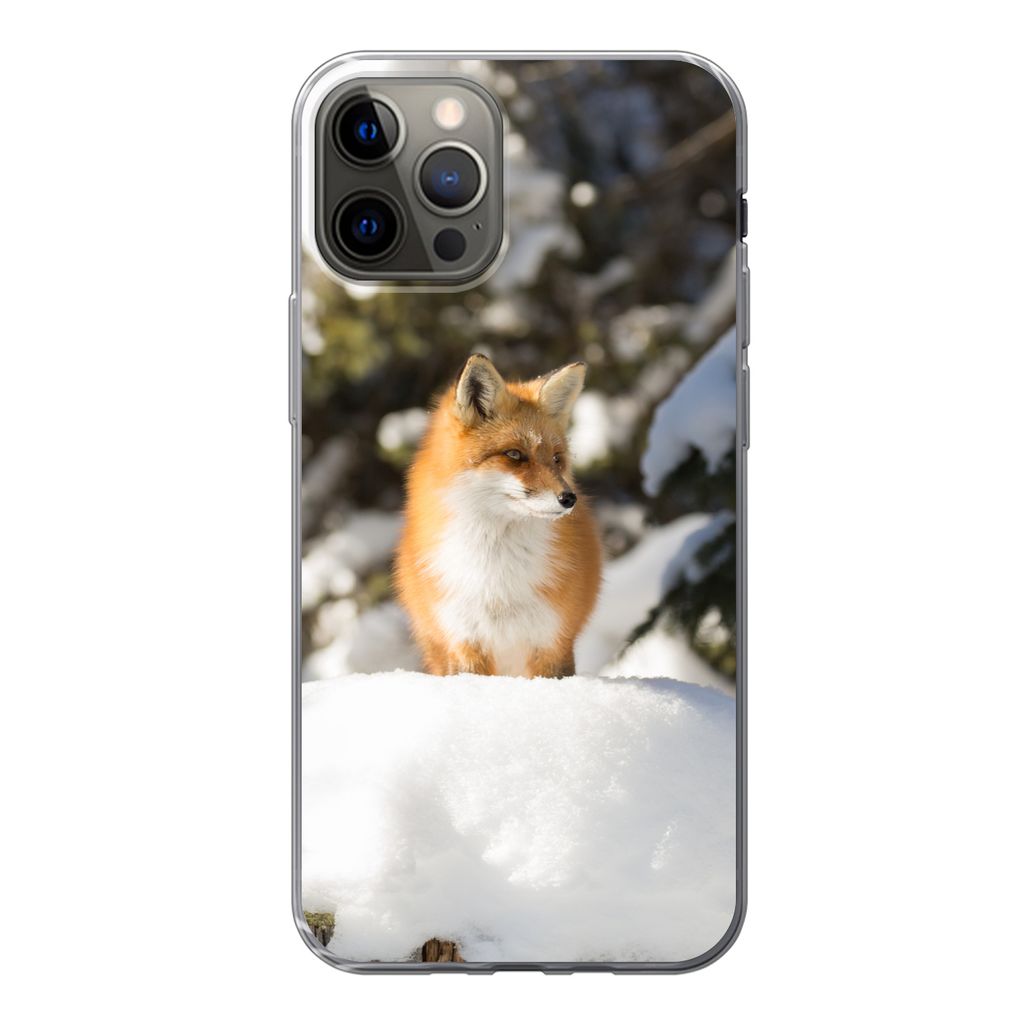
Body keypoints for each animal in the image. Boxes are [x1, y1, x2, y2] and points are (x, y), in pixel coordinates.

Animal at [395, 354, 603, 678]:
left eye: (556, 459)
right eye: (515, 455)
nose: (569, 499)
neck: (496, 580)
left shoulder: (551, 640)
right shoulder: (465, 640)